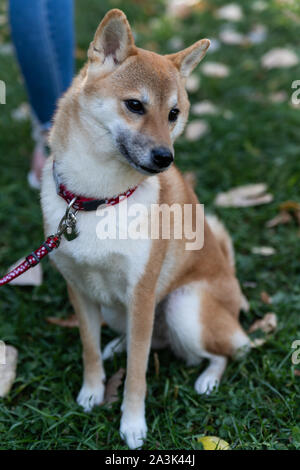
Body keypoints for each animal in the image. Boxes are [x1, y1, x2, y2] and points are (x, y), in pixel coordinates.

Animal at [41, 8, 250, 448]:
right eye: (135, 105)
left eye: (174, 114)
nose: (164, 157)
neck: (97, 198)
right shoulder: (79, 289)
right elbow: (88, 348)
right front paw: (91, 392)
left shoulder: (142, 293)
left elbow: (138, 371)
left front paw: (133, 424)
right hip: (119, 308)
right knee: (147, 339)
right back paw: (115, 347)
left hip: (183, 308)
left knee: (231, 350)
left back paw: (208, 379)